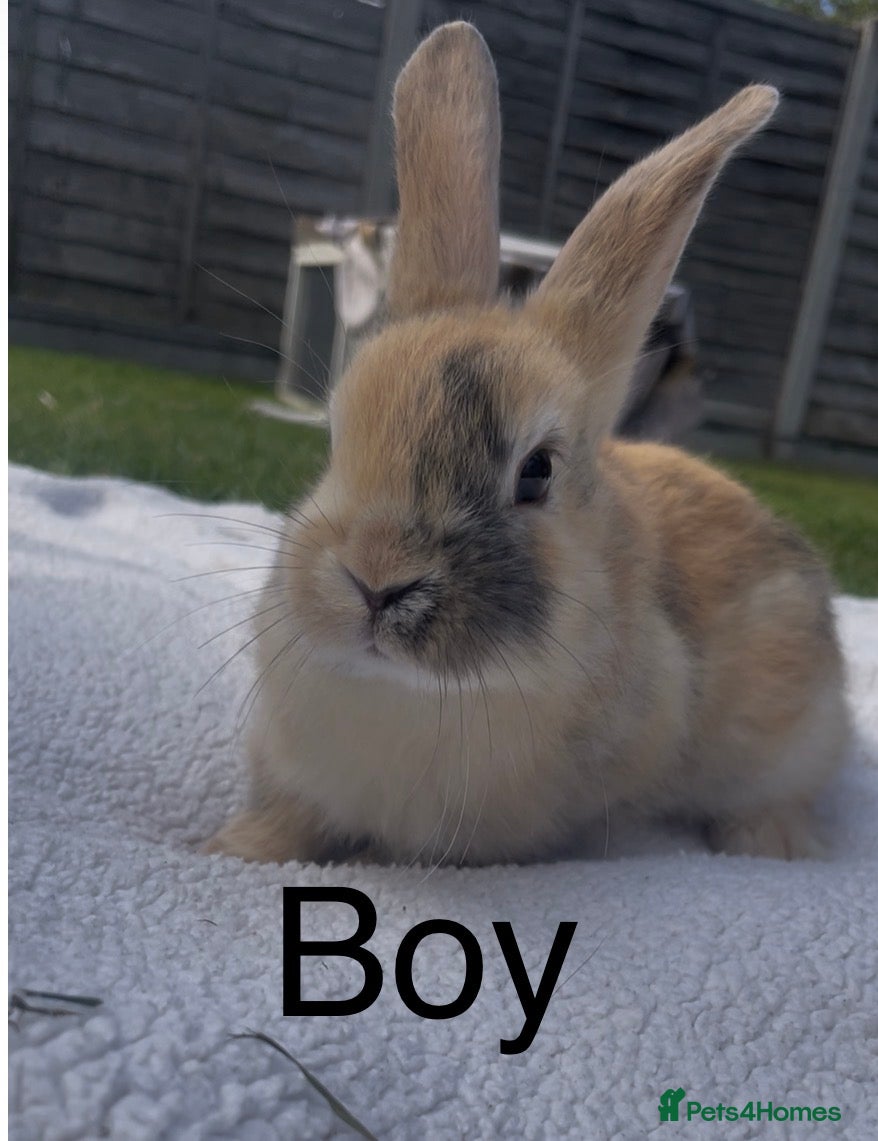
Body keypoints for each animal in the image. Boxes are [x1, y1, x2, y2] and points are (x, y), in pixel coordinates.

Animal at [205, 22, 849, 867]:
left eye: (537, 472)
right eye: (337, 436)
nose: (377, 579)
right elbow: (286, 819)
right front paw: (233, 846)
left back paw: (766, 843)